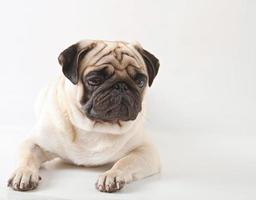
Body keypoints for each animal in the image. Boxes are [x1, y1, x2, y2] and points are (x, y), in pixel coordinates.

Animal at [7, 39, 160, 192]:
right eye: (94, 80)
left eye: (140, 82)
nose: (121, 86)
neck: (96, 128)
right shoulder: (34, 143)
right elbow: (27, 158)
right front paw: (23, 173)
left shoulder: (147, 152)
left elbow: (124, 161)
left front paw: (112, 174)